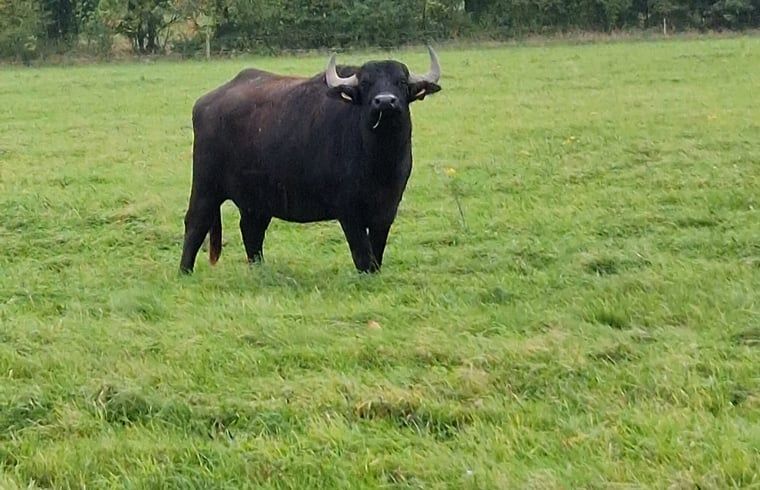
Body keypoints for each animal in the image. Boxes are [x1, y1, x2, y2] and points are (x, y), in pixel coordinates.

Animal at [179, 47, 442, 274]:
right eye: (366, 84)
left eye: (401, 82)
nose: (385, 101)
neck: (379, 161)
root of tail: (204, 103)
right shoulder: (349, 213)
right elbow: (362, 254)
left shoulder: (387, 210)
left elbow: (376, 253)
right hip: (206, 186)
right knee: (196, 222)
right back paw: (185, 271)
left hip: (257, 198)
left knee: (251, 229)